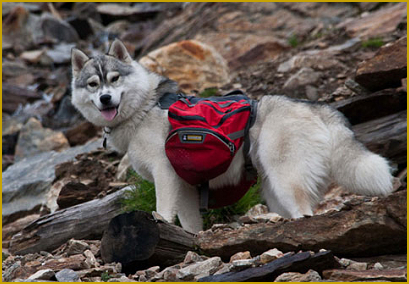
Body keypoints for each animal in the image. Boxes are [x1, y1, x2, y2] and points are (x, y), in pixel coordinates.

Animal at [71, 41, 394, 234]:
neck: (143, 108)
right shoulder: (185, 187)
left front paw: (161, 224)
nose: (105, 98)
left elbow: (162, 211)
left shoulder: (165, 176)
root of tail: (317, 107)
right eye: (93, 84)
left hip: (287, 182)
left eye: (114, 79)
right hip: (275, 192)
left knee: (305, 212)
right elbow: (191, 224)